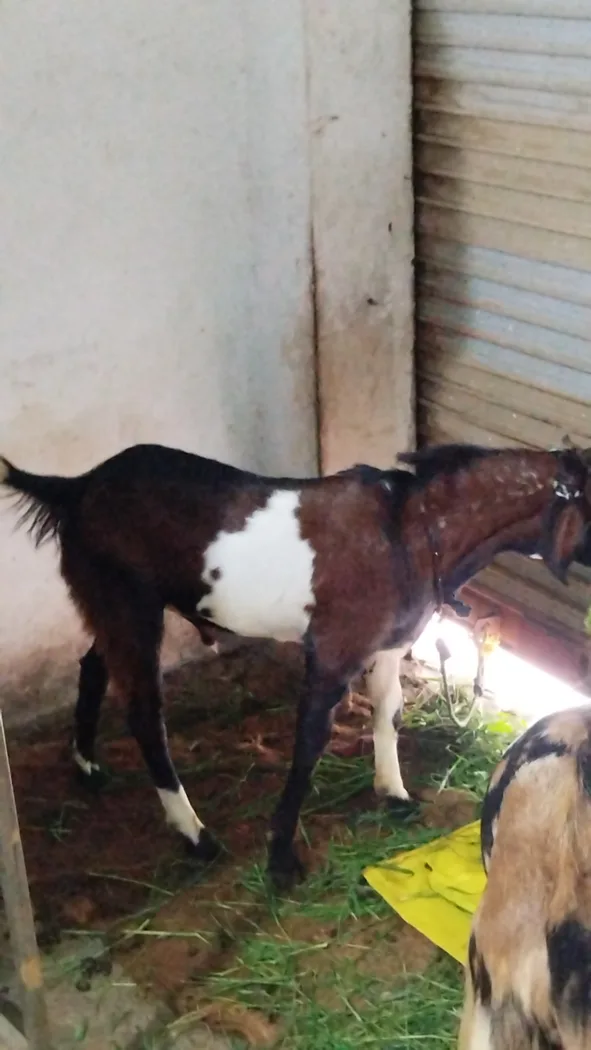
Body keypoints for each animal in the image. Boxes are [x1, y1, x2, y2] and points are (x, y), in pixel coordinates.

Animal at [2, 441, 591, 889]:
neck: (410, 530)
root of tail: (76, 487)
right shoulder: (332, 652)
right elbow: (310, 743)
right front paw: (281, 855)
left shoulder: (387, 645)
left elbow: (389, 713)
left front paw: (394, 794)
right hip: (128, 606)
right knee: (146, 716)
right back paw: (197, 836)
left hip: (108, 607)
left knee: (91, 666)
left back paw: (87, 766)